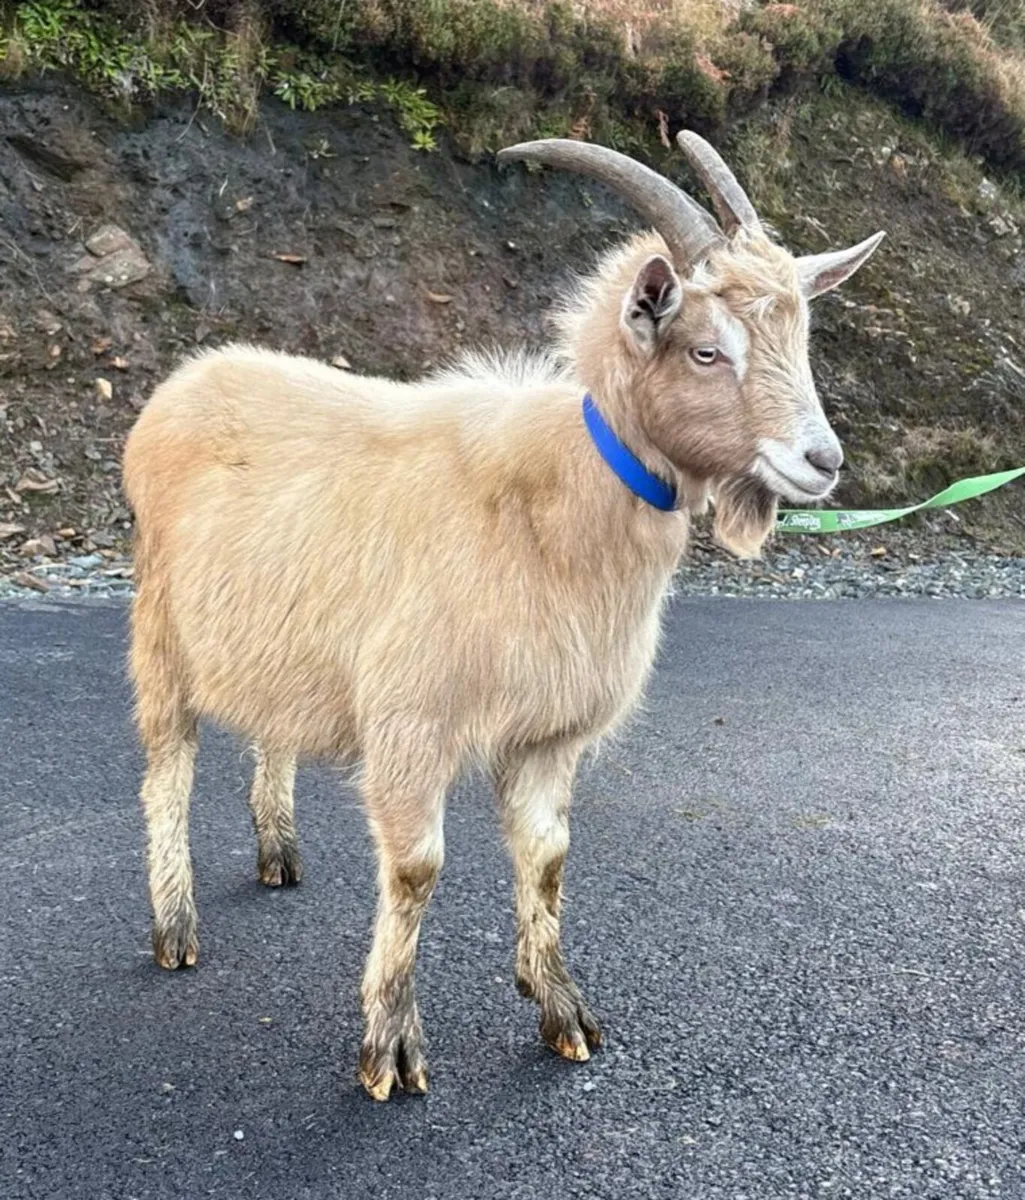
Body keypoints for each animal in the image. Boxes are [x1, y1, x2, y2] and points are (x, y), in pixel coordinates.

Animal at [123, 132, 884, 1101]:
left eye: (802, 339)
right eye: (706, 352)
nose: (820, 462)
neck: (543, 509)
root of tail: (185, 382)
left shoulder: (549, 732)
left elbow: (547, 856)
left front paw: (560, 1010)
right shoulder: (412, 723)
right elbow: (416, 869)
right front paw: (390, 1049)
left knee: (271, 732)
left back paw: (277, 853)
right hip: (158, 636)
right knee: (167, 774)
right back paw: (175, 928)